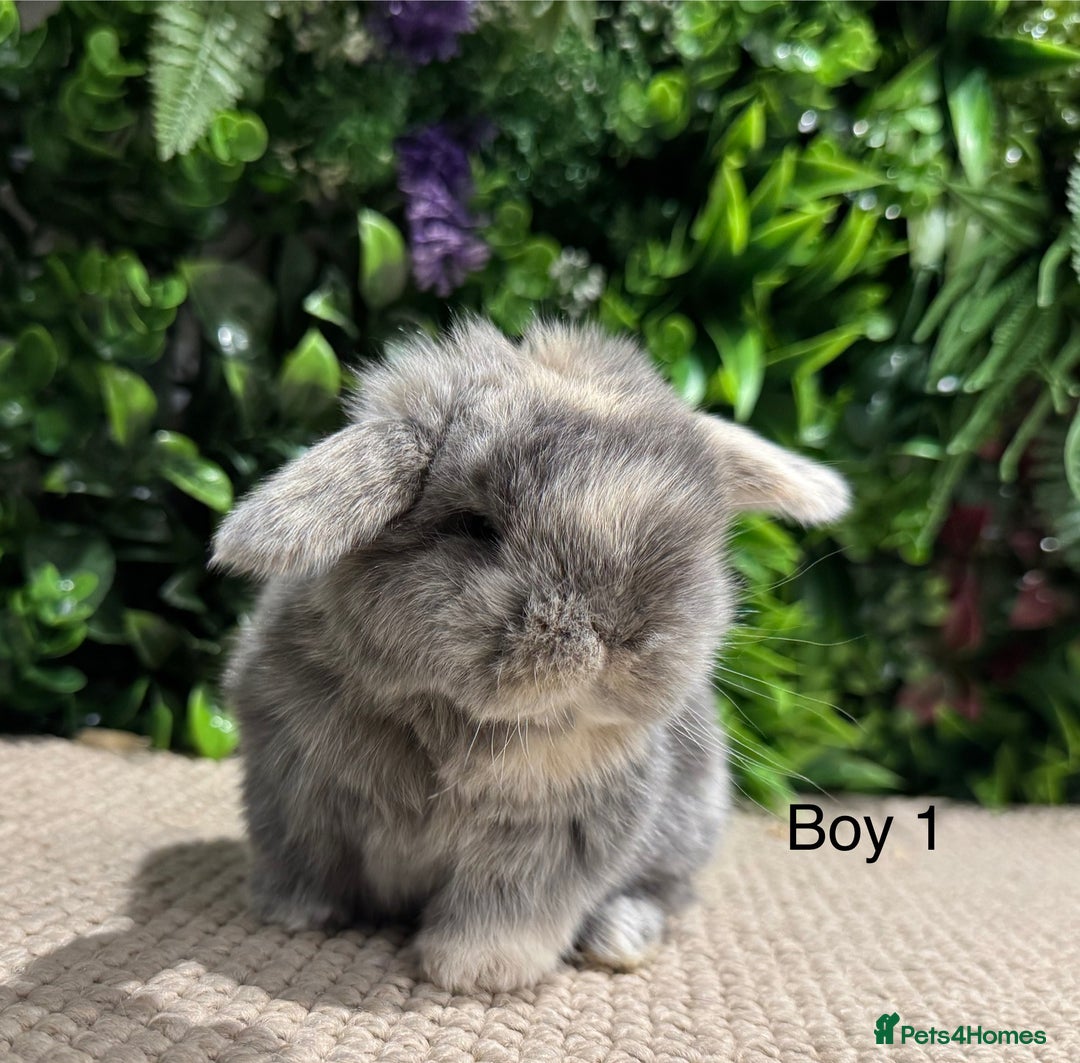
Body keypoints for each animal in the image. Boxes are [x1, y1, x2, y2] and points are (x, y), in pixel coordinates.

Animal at [211, 317, 849, 994]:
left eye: (694, 536)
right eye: (475, 526)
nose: (616, 634)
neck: (458, 723)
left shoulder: (552, 841)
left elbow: (506, 907)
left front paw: (477, 971)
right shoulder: (292, 792)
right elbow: (302, 861)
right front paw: (295, 916)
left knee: (666, 894)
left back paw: (618, 939)